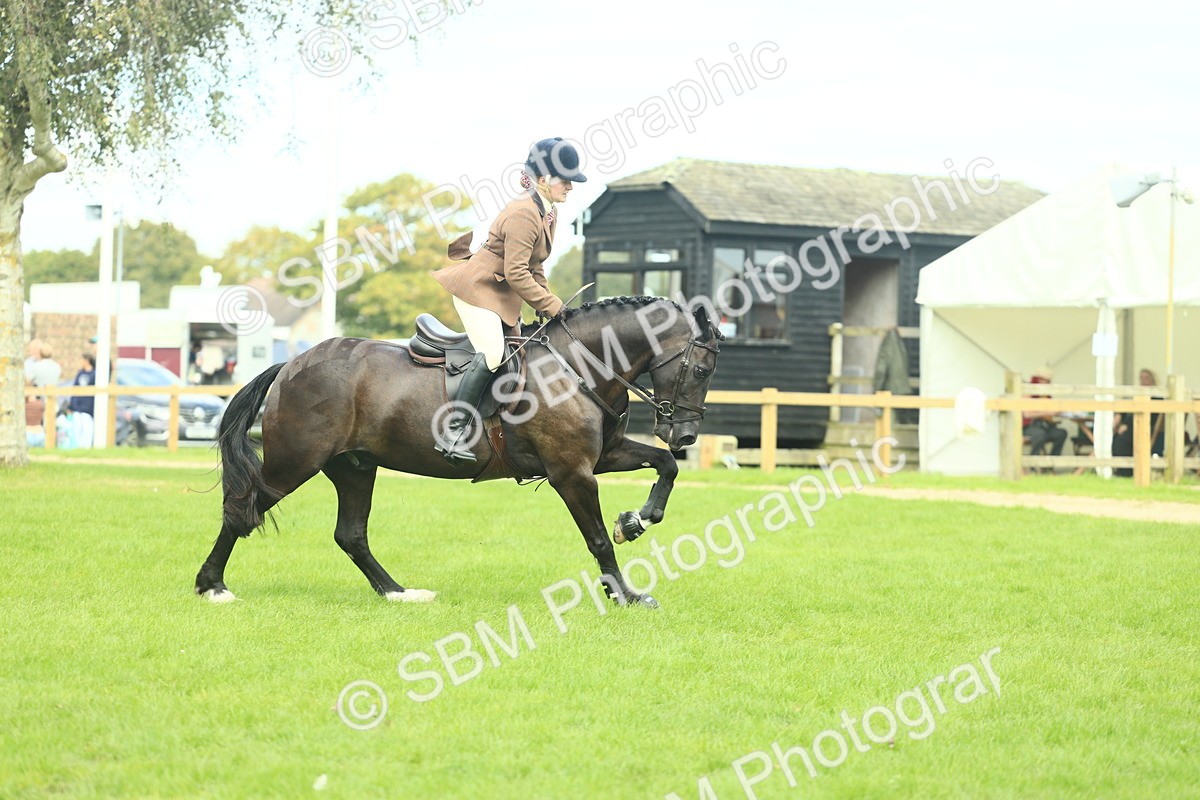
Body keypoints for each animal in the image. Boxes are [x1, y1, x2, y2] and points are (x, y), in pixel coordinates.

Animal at [195, 296, 723, 608]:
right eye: (701, 370)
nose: (685, 436)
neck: (578, 366)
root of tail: (291, 364)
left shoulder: (602, 456)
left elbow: (665, 466)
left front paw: (637, 520)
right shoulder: (572, 472)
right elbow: (596, 540)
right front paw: (625, 594)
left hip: (354, 468)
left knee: (351, 534)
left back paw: (397, 593)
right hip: (295, 463)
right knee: (242, 509)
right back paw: (211, 585)